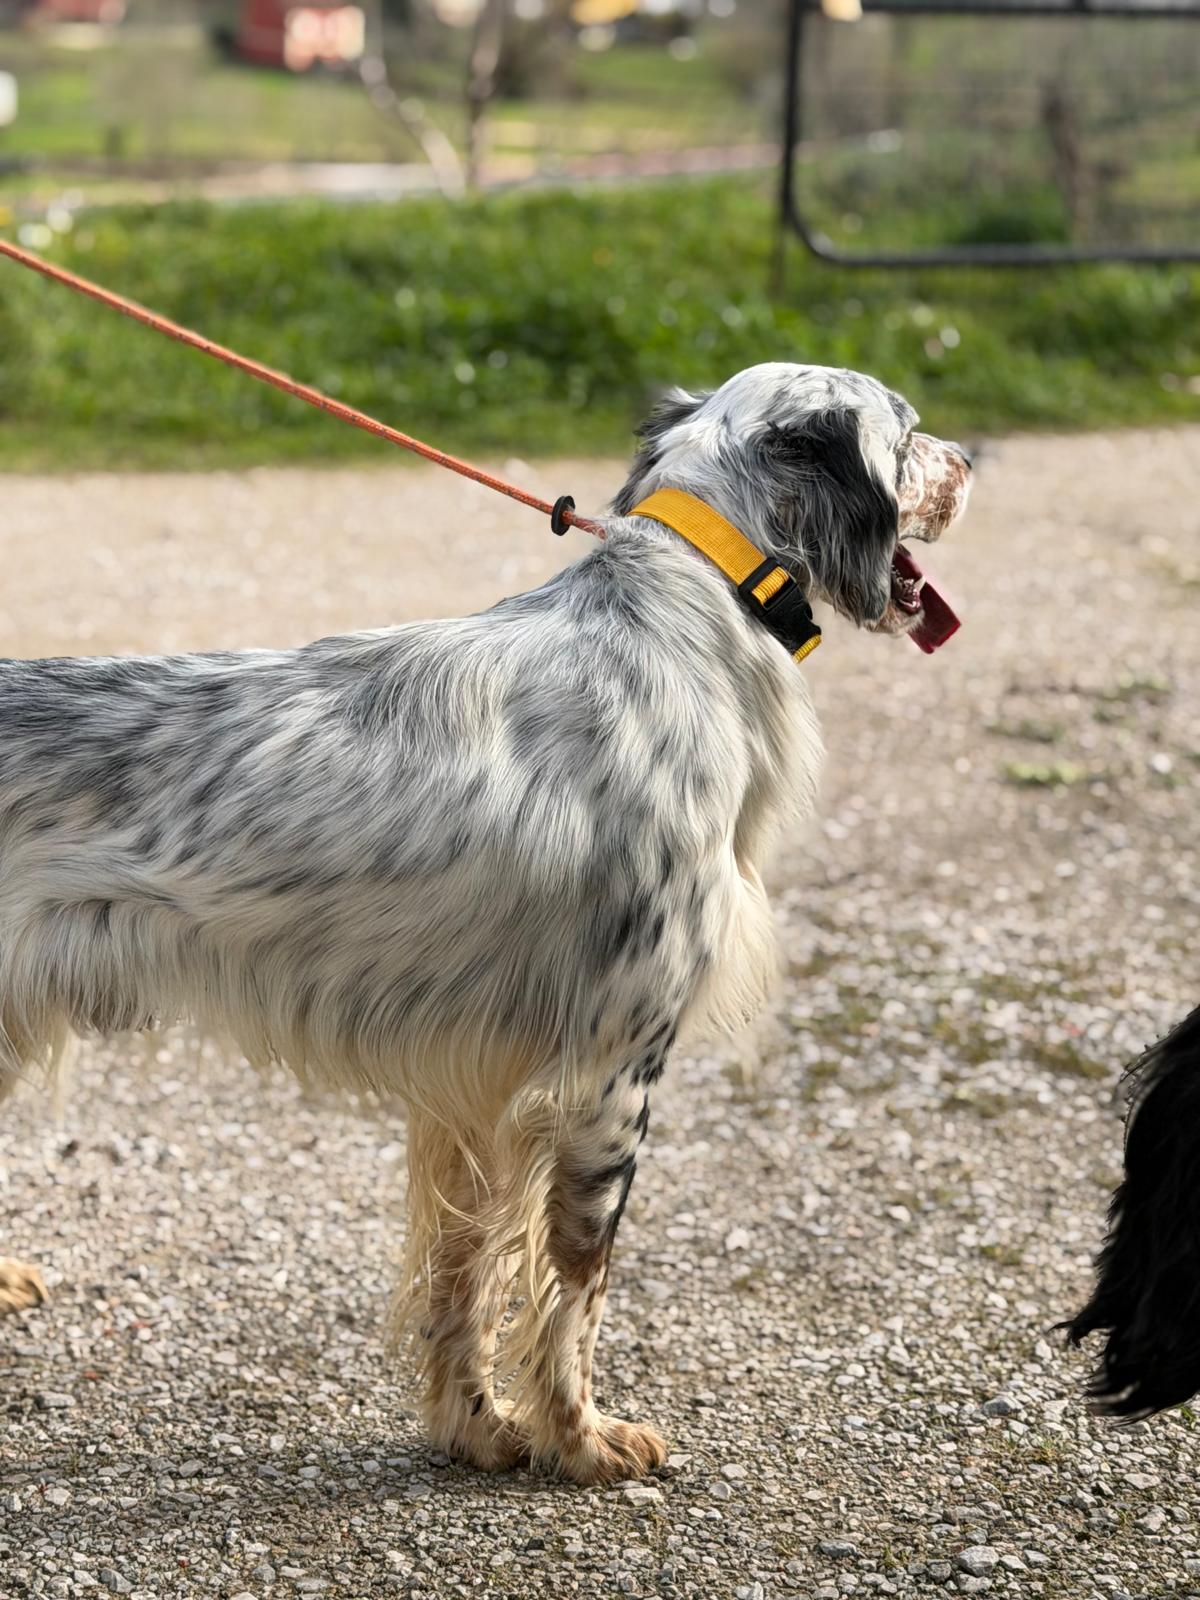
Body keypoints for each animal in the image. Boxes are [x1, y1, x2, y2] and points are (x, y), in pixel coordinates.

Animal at [0, 362, 970, 1483]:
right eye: (909, 433)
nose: (971, 460)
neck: (692, 598)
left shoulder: (474, 1081)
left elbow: (468, 1273)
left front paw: (478, 1427)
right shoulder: (611, 1074)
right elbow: (578, 1284)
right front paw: (581, 1437)